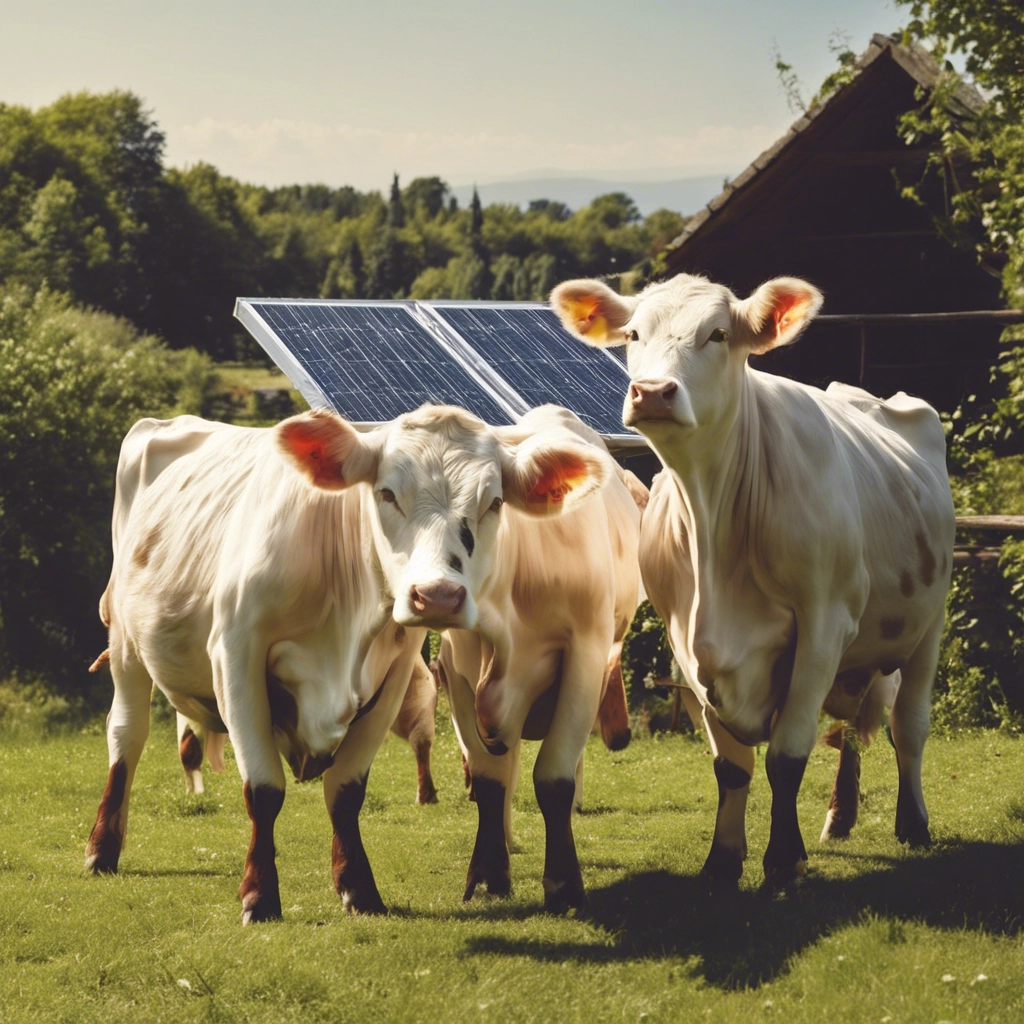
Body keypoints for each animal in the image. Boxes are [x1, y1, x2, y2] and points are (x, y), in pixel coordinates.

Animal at [88, 401, 614, 921]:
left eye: (495, 503)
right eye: (386, 493)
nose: (438, 596)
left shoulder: (396, 672)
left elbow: (346, 790)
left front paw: (358, 888)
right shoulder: (237, 655)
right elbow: (263, 789)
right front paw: (259, 896)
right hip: (126, 644)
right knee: (126, 737)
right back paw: (101, 848)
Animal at [436, 403, 643, 909]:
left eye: (494, 501)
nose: (439, 592)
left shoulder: (585, 654)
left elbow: (554, 777)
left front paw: (564, 883)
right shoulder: (457, 670)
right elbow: (489, 781)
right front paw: (489, 874)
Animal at [557, 274, 954, 888]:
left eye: (719, 334)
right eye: (632, 334)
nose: (652, 391)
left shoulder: (823, 627)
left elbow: (786, 757)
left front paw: (783, 860)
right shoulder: (686, 641)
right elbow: (732, 766)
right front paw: (722, 861)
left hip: (928, 624)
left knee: (906, 726)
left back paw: (912, 823)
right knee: (849, 731)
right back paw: (839, 818)